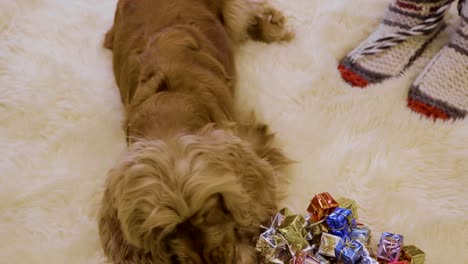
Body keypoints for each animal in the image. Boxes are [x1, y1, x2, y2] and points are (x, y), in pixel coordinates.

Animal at [99, 1, 292, 262]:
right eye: (167, 230)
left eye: (211, 208)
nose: (209, 258)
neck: (168, 106)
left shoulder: (251, 139)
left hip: (234, 13)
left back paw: (274, 30)